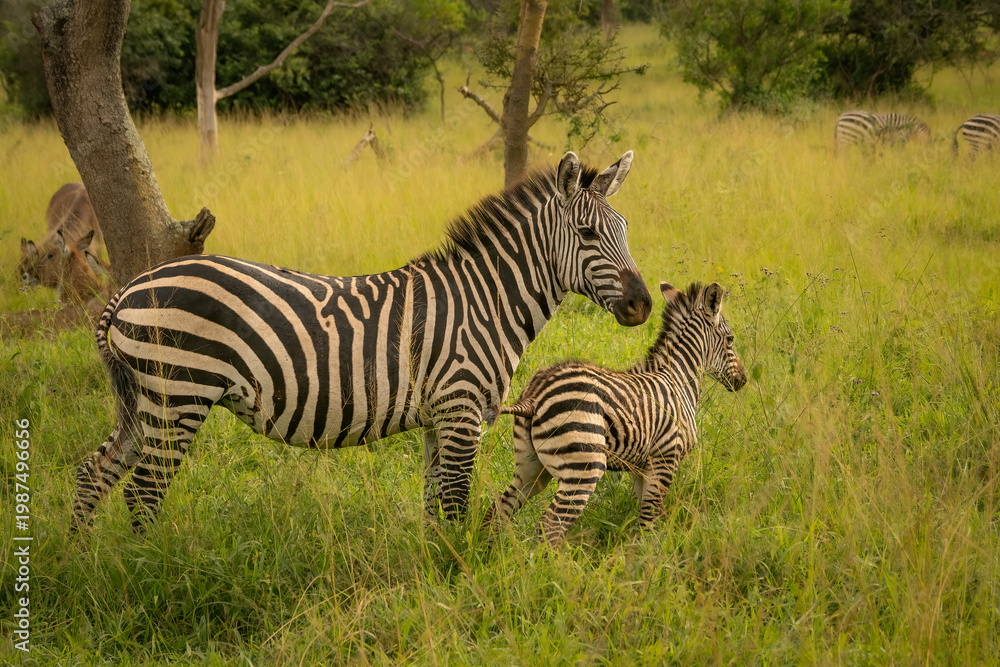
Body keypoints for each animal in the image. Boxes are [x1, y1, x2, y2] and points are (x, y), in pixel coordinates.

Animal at [71, 150, 653, 534]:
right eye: (587, 234)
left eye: (625, 228)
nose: (643, 305)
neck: (485, 302)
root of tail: (126, 290)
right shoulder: (462, 412)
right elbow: (457, 505)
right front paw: (461, 575)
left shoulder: (437, 419)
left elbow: (434, 506)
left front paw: (432, 572)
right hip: (179, 394)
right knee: (142, 492)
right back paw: (149, 571)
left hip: (141, 399)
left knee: (95, 472)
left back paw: (88, 561)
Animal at [484, 281, 746, 547]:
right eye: (731, 339)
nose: (742, 380)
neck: (679, 379)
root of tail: (535, 397)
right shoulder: (665, 457)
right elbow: (650, 515)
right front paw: (651, 553)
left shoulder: (641, 466)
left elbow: (643, 514)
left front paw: (640, 551)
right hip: (583, 466)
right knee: (550, 526)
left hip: (530, 468)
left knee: (498, 510)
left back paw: (489, 553)